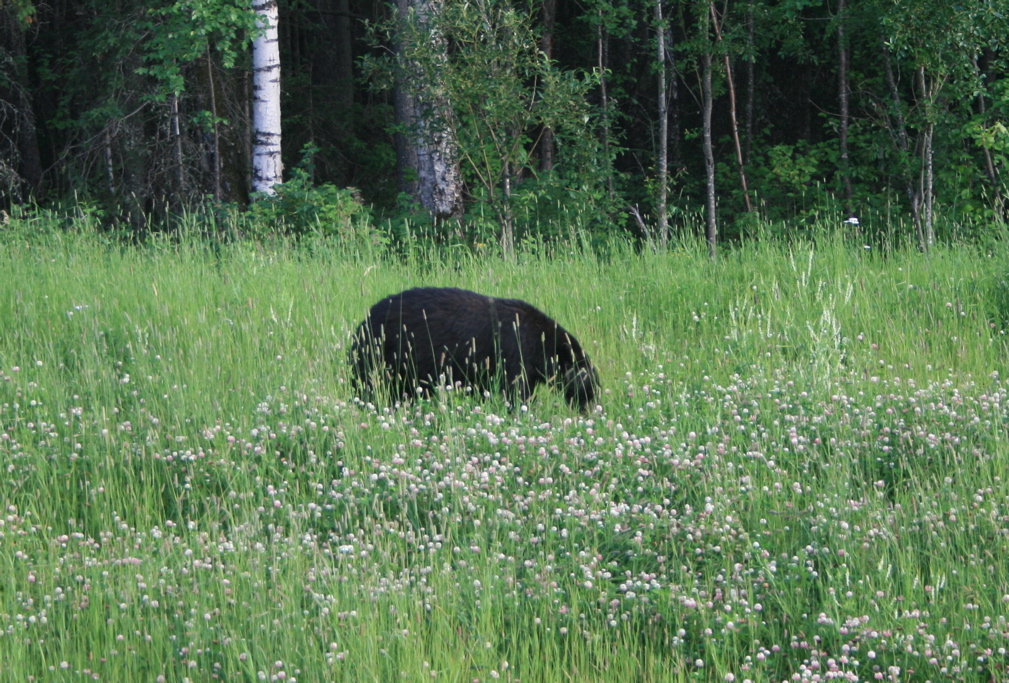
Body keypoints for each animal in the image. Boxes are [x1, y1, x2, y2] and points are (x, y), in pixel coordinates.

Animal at [351, 286, 593, 409]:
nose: (590, 409)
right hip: (380, 357)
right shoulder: (513, 353)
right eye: (590, 388)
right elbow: (516, 391)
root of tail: (362, 324)